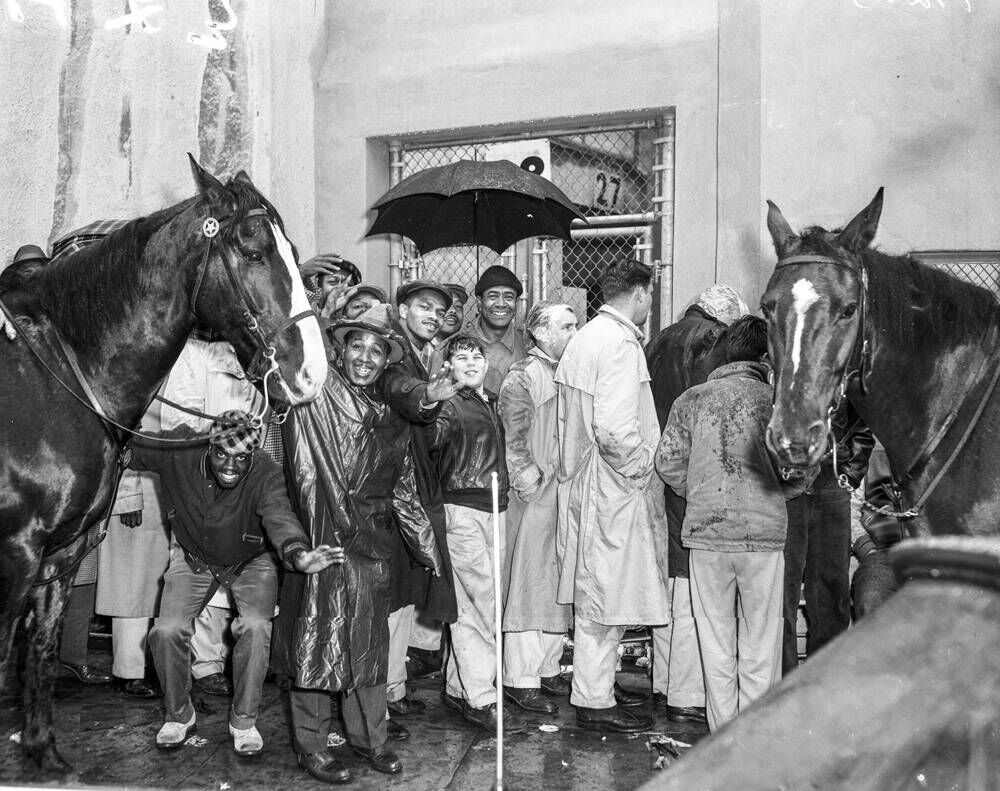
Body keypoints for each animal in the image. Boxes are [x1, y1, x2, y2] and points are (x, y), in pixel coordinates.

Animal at [0, 156, 326, 772]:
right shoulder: (15, 552)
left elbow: (41, 647)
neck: (57, 371)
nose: (311, 373)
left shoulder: (59, 555)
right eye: (252, 250)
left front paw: (42, 753)